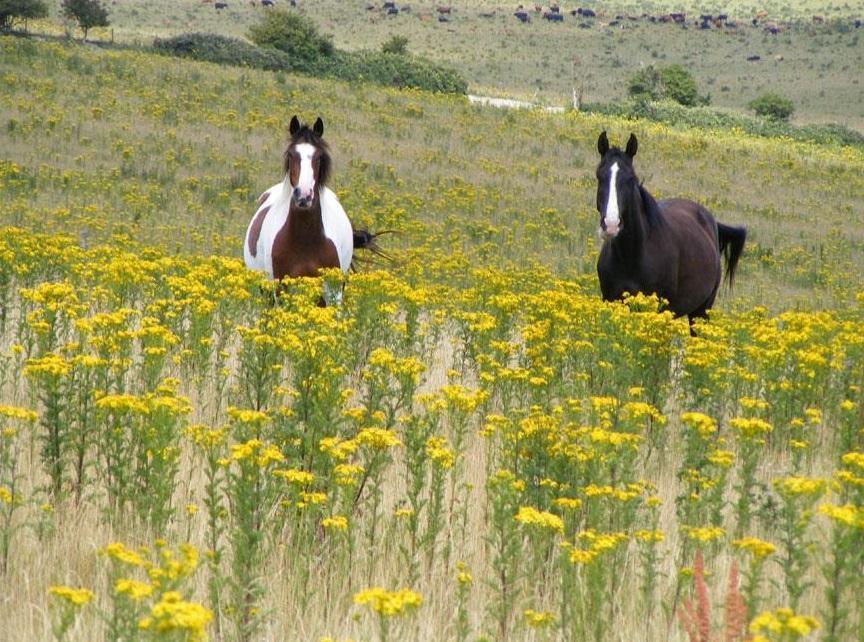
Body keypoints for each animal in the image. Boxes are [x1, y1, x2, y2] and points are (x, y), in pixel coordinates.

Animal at [243, 115, 378, 302]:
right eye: (291, 154)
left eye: (319, 157)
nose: (304, 195)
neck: (305, 240)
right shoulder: (280, 289)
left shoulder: (332, 292)